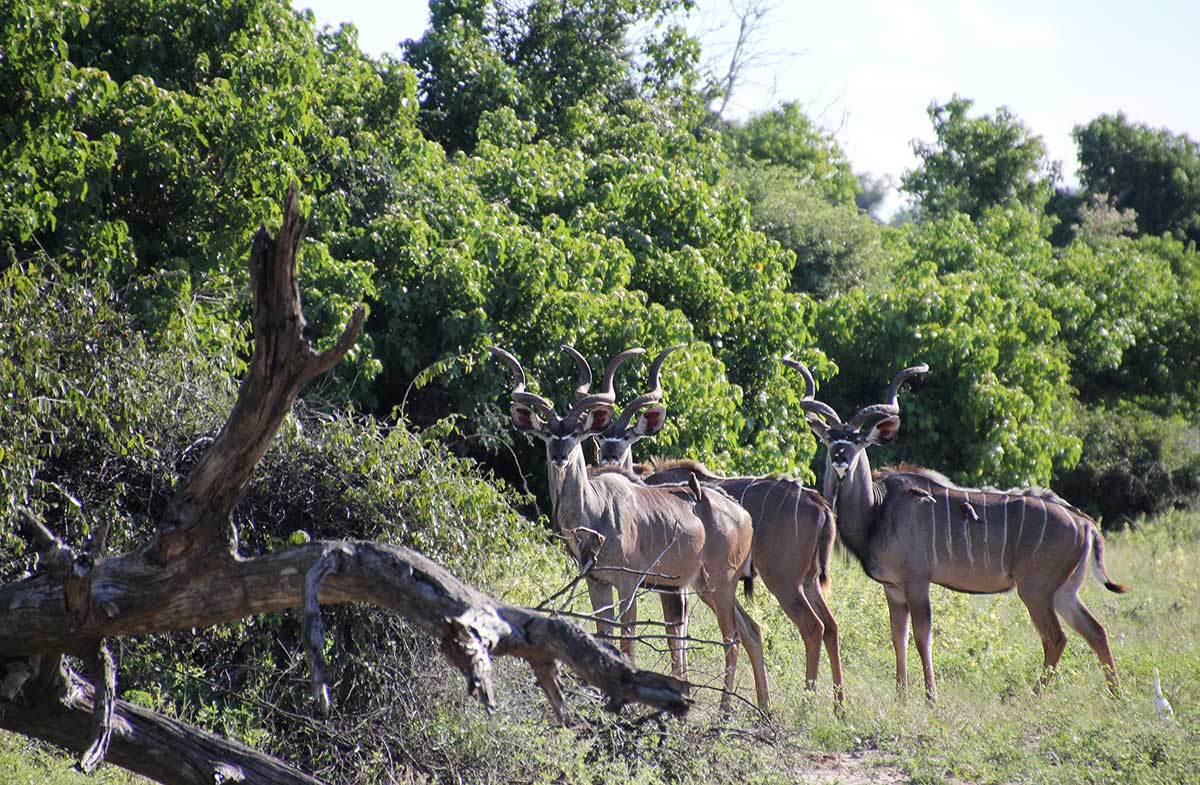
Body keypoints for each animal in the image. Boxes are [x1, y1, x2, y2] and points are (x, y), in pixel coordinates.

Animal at [492, 345, 772, 715]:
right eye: (548, 434)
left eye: (576, 433)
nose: (560, 456)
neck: (595, 511)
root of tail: (744, 516)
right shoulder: (597, 582)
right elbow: (603, 635)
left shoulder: (629, 583)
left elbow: (627, 641)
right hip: (703, 585)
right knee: (751, 629)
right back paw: (764, 709)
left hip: (720, 581)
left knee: (732, 638)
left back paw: (725, 711)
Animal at [592, 348, 844, 705]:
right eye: (601, 436)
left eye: (628, 436)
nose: (609, 455)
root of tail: (819, 503)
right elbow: (679, 634)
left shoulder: (672, 586)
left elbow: (674, 634)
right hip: (806, 581)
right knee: (829, 627)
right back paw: (835, 707)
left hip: (782, 581)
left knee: (811, 627)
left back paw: (806, 703)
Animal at [782, 360, 1128, 705]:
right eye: (830, 439)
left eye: (857, 441)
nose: (840, 458)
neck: (877, 510)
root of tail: (1083, 523)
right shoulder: (893, 588)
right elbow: (898, 637)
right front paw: (900, 697)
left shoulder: (917, 582)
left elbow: (922, 637)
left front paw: (930, 698)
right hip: (1064, 591)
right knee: (1097, 631)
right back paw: (1116, 698)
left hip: (1036, 590)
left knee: (1056, 638)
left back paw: (1034, 699)